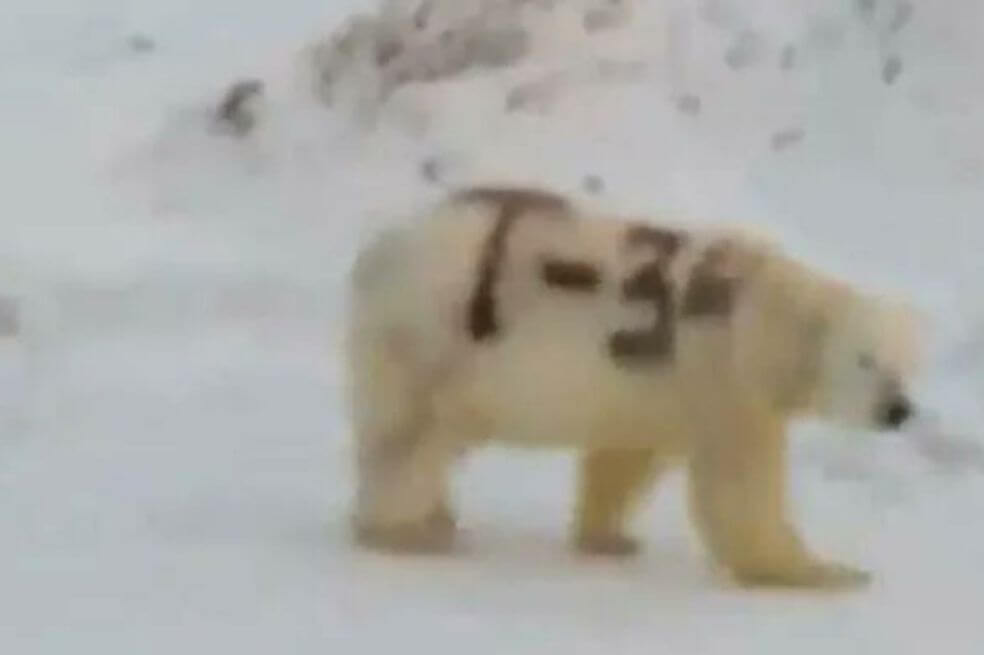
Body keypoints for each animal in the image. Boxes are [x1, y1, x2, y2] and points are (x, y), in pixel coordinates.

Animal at [342, 184, 922, 589]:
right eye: (866, 359)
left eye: (909, 362)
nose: (897, 409)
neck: (763, 315)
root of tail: (377, 251)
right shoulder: (724, 374)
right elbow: (741, 490)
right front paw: (828, 573)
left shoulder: (659, 389)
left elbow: (625, 457)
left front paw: (610, 538)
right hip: (432, 336)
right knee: (411, 437)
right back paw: (408, 531)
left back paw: (436, 516)